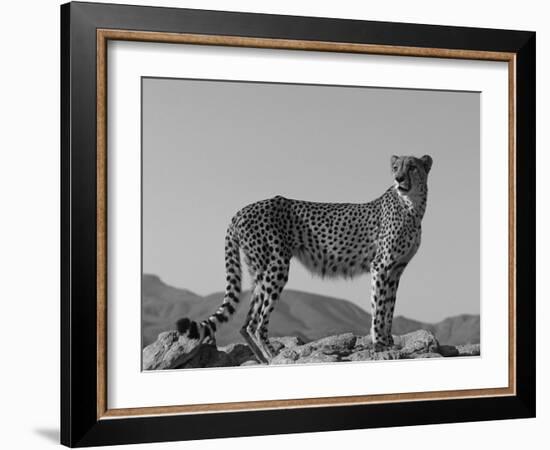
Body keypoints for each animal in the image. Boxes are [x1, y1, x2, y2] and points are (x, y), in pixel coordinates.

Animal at [178, 155, 436, 366]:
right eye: (395, 167)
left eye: (412, 167)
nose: (398, 178)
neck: (412, 206)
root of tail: (242, 210)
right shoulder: (381, 267)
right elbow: (379, 307)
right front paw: (380, 345)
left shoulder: (395, 269)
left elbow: (389, 307)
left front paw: (388, 341)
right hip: (276, 266)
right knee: (257, 323)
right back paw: (274, 357)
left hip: (259, 271)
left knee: (246, 323)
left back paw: (263, 359)